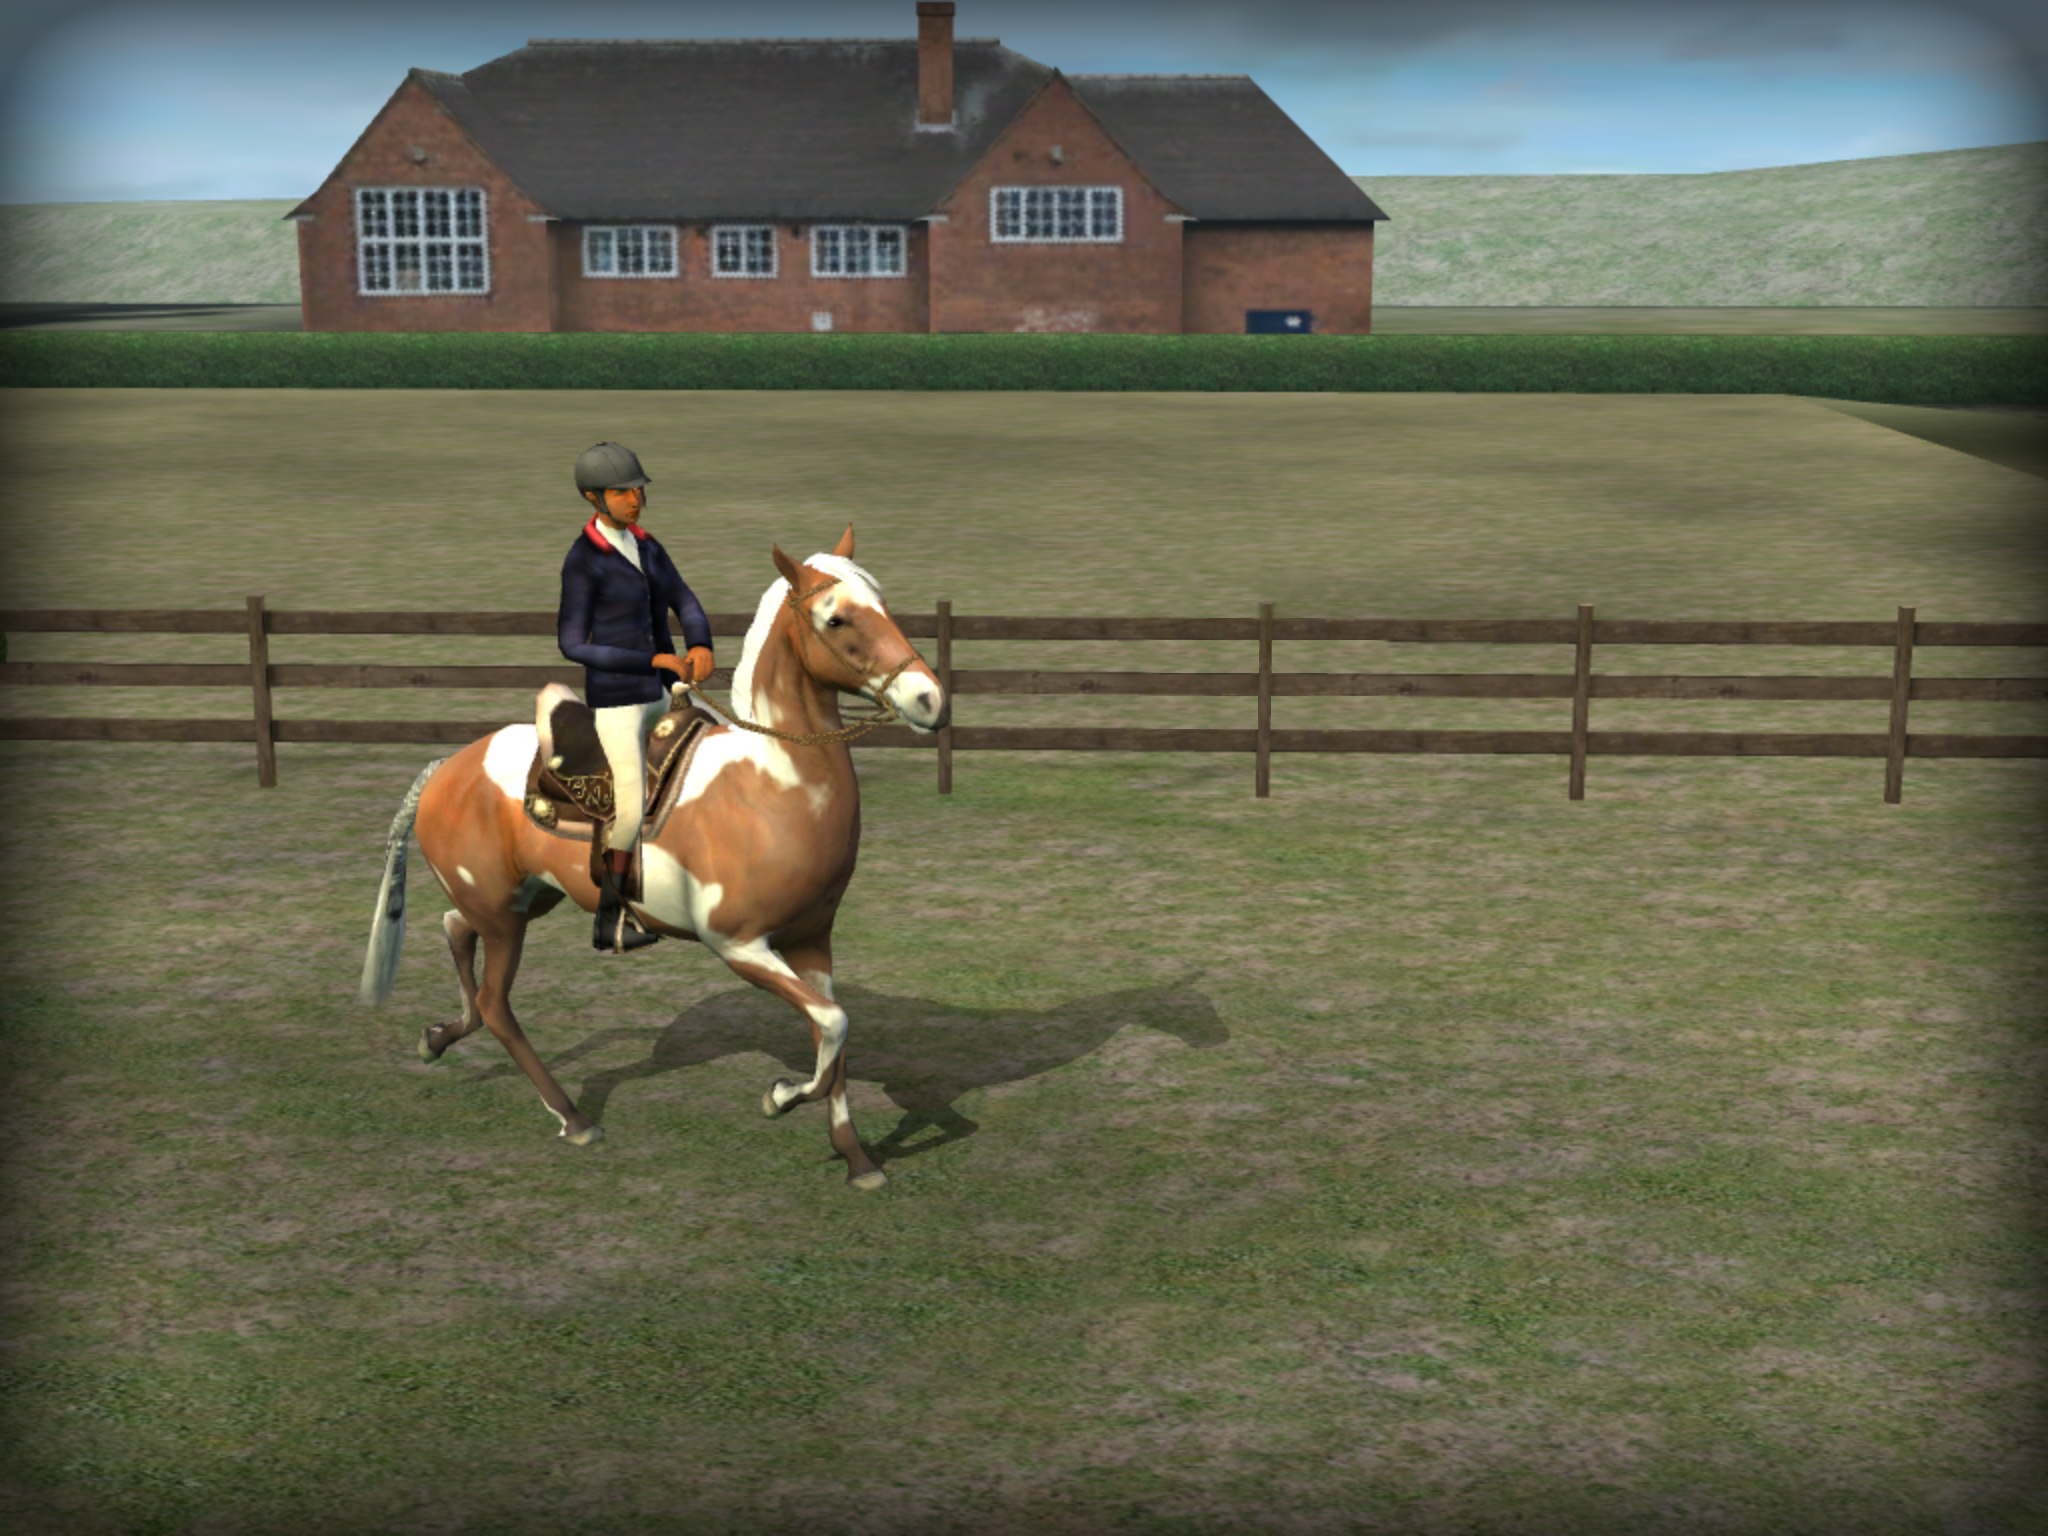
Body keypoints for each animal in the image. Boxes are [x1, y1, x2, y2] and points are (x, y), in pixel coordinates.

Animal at [357, 527, 948, 1190]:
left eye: (883, 604)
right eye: (837, 618)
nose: (930, 699)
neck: (772, 783)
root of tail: (445, 769)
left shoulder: (811, 942)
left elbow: (834, 1032)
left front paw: (856, 1158)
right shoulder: (739, 947)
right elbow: (833, 1024)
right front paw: (779, 1097)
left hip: (525, 898)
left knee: (455, 928)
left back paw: (437, 1039)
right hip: (506, 919)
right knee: (493, 1001)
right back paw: (573, 1118)